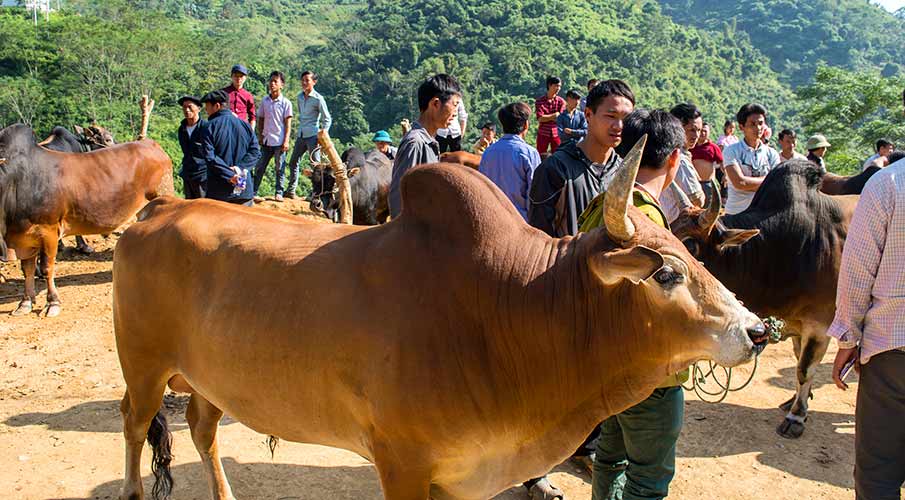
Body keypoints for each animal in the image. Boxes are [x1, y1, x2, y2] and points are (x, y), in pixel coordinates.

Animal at [0, 122, 173, 314]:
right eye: (107, 139)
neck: (16, 181)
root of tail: (152, 145)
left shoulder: (48, 231)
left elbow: (46, 268)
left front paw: (53, 302)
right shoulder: (24, 237)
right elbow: (27, 269)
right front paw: (25, 303)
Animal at [109, 137, 768, 500]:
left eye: (696, 257)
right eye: (667, 274)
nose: (758, 331)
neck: (515, 308)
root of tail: (160, 208)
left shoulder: (459, 477)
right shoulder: (401, 465)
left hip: (208, 378)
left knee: (202, 429)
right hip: (143, 369)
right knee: (135, 427)